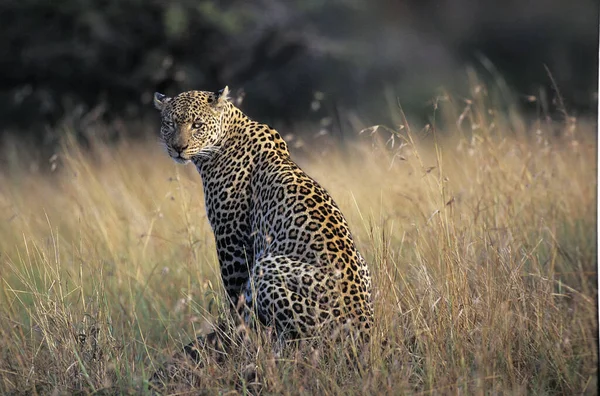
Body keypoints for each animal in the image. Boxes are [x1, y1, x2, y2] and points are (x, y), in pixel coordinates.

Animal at [152, 86, 372, 374]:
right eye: (168, 124)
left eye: (197, 125)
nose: (178, 148)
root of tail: (365, 328)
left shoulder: (231, 239)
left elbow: (233, 295)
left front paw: (233, 333)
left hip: (269, 267)